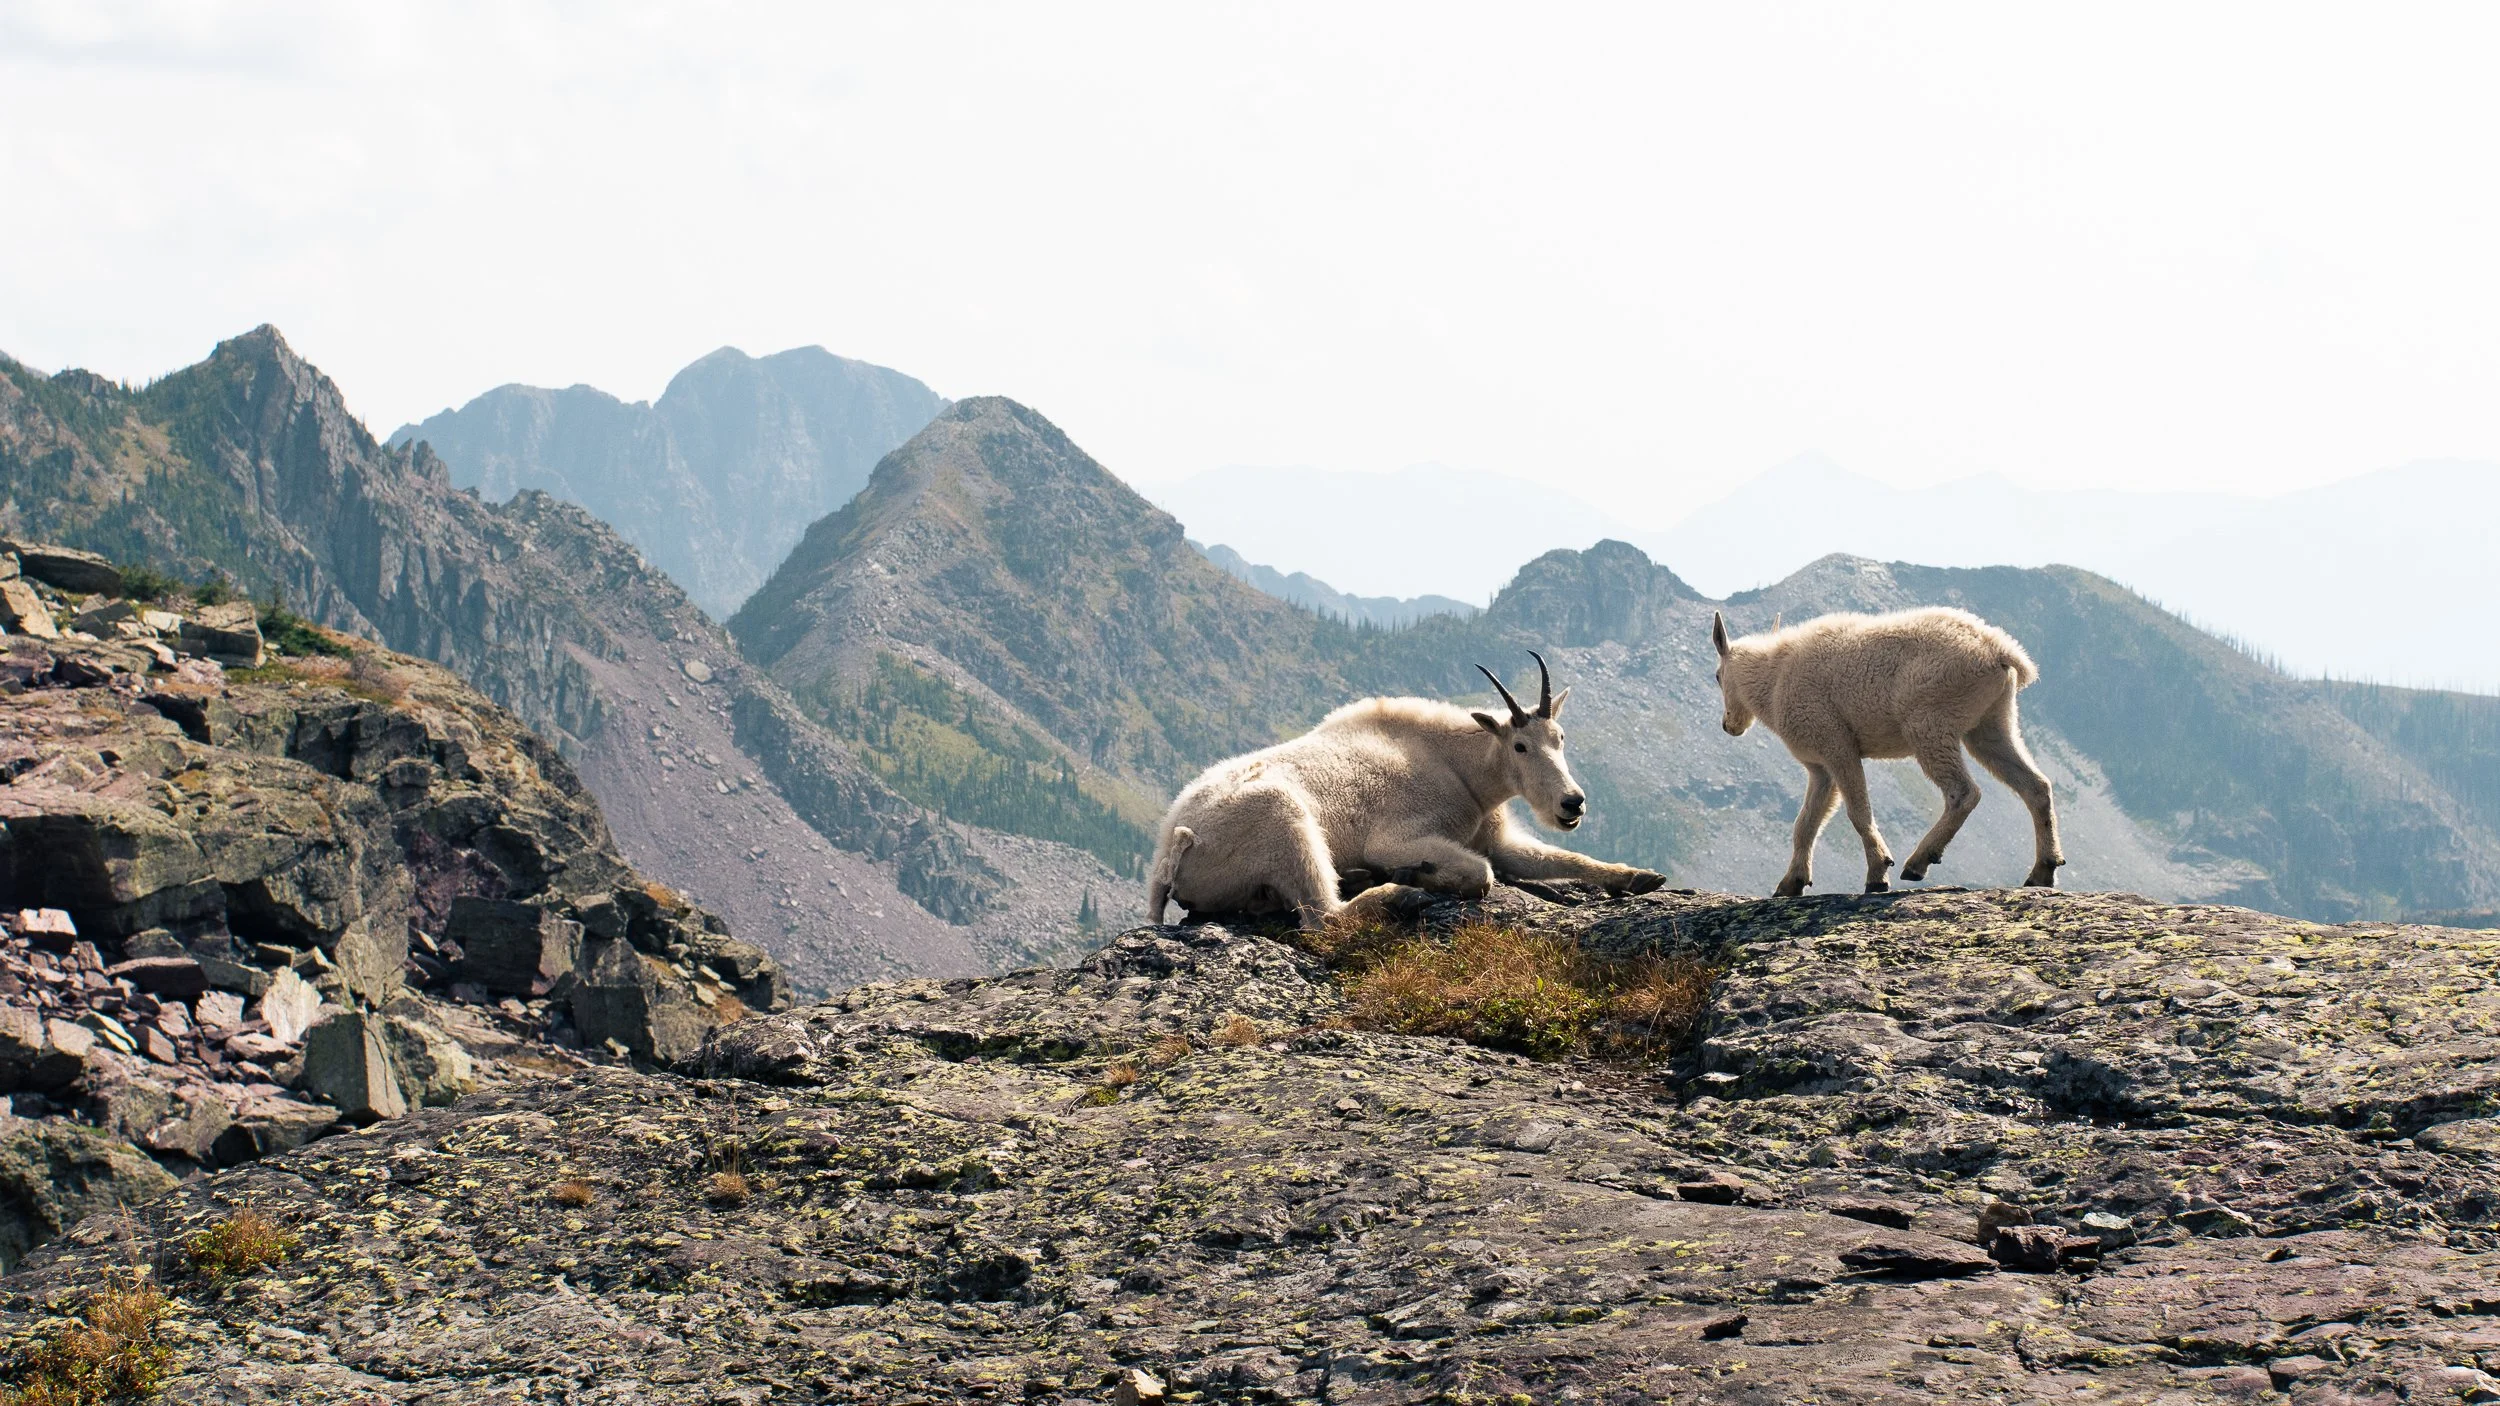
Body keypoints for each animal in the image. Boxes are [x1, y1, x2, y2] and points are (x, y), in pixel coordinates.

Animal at [1146, 653, 1665, 929]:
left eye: (1560, 737)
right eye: (1519, 745)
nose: (1571, 803)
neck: (1458, 766)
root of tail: (1173, 848)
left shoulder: (1497, 839)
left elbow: (1567, 859)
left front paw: (1638, 876)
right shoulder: (1398, 837)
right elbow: (1482, 874)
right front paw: (1418, 872)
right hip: (1283, 817)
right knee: (1325, 915)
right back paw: (1394, 887)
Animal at [1710, 606, 2064, 896]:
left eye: (1716, 676)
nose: (1729, 725)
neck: (1773, 680)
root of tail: (2000, 650)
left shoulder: (1837, 745)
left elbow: (1857, 812)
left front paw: (1878, 875)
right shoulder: (1820, 767)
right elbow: (1806, 823)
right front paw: (1791, 883)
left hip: (1930, 722)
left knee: (1964, 792)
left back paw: (1918, 862)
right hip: (1991, 723)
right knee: (2035, 785)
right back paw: (2043, 871)